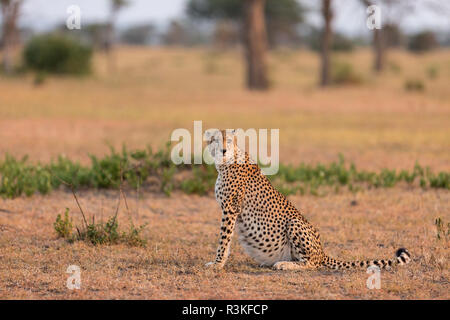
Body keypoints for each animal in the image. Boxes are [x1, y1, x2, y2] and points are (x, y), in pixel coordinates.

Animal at [204, 129, 412, 272]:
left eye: (229, 140)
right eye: (216, 140)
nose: (223, 150)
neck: (225, 163)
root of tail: (322, 251)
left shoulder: (230, 208)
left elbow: (224, 239)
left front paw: (217, 264)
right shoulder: (230, 210)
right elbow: (227, 239)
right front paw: (218, 263)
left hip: (295, 223)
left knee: (312, 263)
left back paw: (284, 265)